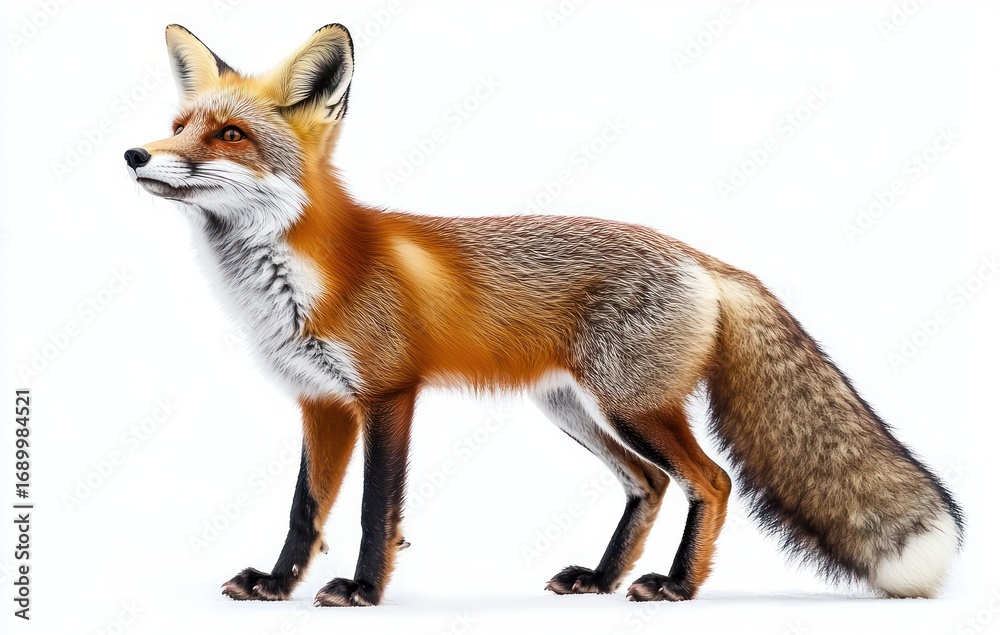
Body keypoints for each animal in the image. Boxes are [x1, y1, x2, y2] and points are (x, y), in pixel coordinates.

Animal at [125, 24, 963, 607]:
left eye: (230, 134)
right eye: (178, 123)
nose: (135, 154)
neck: (300, 277)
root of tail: (700, 256)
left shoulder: (388, 393)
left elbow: (370, 509)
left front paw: (363, 592)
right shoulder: (321, 401)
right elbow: (306, 510)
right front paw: (276, 585)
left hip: (633, 404)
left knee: (712, 481)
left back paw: (677, 586)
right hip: (573, 409)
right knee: (649, 484)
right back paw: (601, 576)